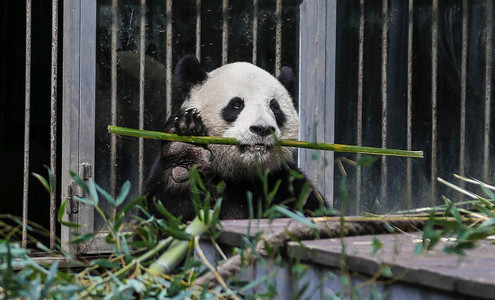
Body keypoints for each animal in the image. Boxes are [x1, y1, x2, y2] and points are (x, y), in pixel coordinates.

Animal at [145, 55, 328, 220]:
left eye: (275, 107)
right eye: (236, 105)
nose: (262, 129)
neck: (239, 175)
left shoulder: (285, 183)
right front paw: (184, 155)